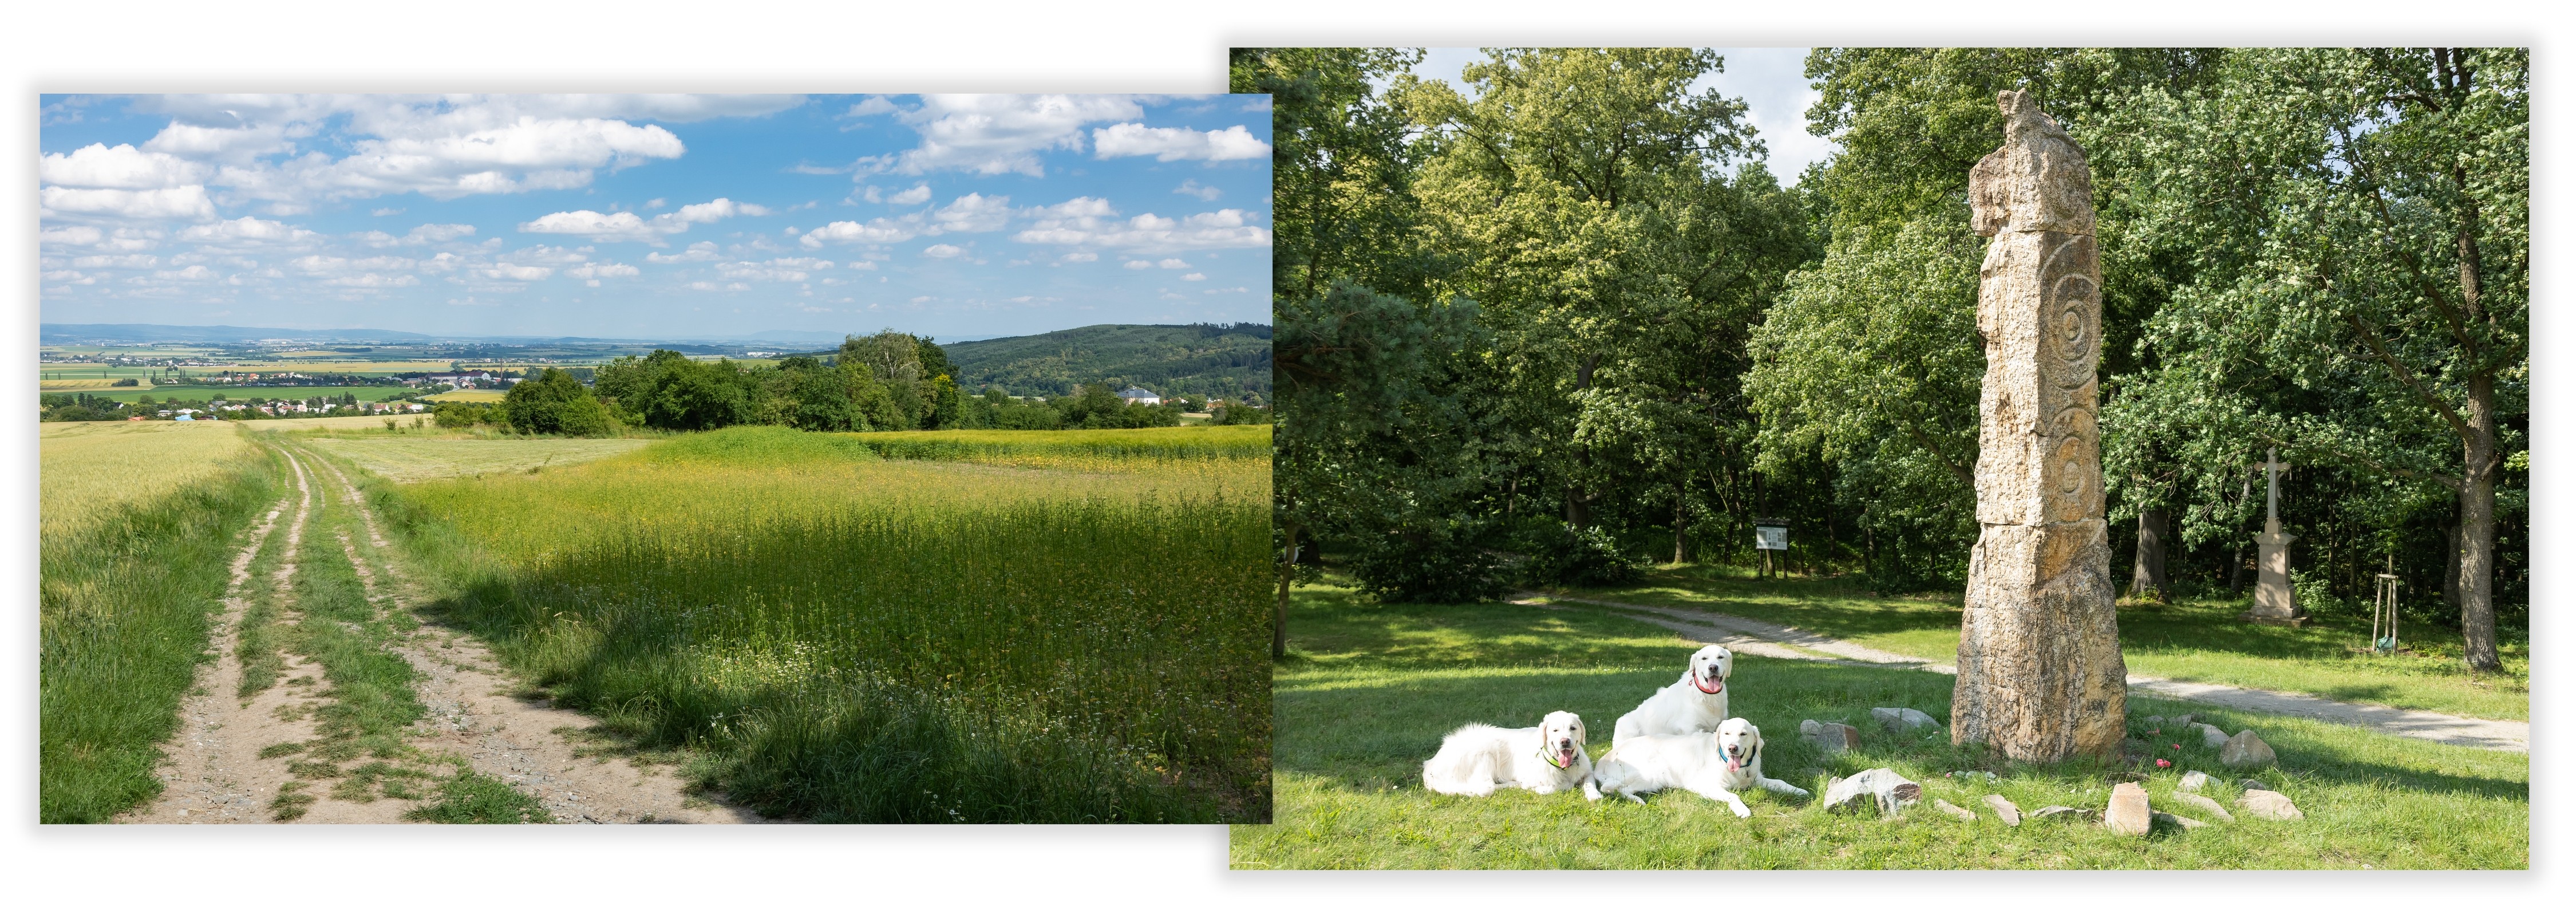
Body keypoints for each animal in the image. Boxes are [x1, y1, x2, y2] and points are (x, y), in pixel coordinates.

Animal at [1422, 711, 1597, 798]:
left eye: (1573, 728)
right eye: (1555, 730)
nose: (1565, 741)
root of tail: (1430, 766)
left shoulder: (1587, 772)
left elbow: (1590, 782)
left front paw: (1594, 795)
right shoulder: (1535, 782)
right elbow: (1560, 786)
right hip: (1484, 751)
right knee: (1487, 787)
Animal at [1587, 711, 1814, 814]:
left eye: (1744, 734)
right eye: (1726, 734)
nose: (1732, 748)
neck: (1737, 770)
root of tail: (1605, 758)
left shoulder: (1757, 778)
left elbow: (1781, 783)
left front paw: (1799, 790)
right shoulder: (1706, 787)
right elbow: (1733, 796)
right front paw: (1742, 810)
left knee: (1623, 790)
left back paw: (1639, 801)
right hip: (1649, 772)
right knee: (1610, 787)